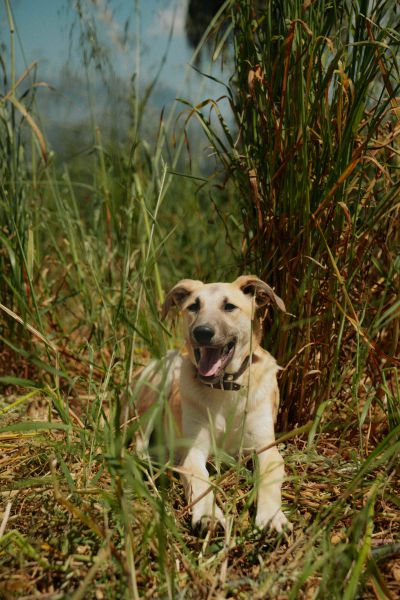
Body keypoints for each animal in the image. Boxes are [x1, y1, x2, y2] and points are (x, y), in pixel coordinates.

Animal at [133, 275, 290, 533]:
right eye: (193, 306)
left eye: (229, 306)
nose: (202, 332)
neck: (224, 387)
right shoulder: (194, 451)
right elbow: (201, 482)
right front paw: (209, 515)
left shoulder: (265, 448)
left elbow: (269, 478)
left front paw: (271, 516)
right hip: (160, 382)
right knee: (139, 440)